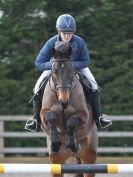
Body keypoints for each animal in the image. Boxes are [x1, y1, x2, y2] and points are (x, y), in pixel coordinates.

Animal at [39, 41, 97, 177]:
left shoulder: (84, 115)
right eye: (54, 71)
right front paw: (55, 143)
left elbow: (71, 122)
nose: (64, 100)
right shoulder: (43, 113)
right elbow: (51, 116)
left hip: (89, 157)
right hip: (57, 162)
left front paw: (73, 143)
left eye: (71, 70)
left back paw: (75, 146)